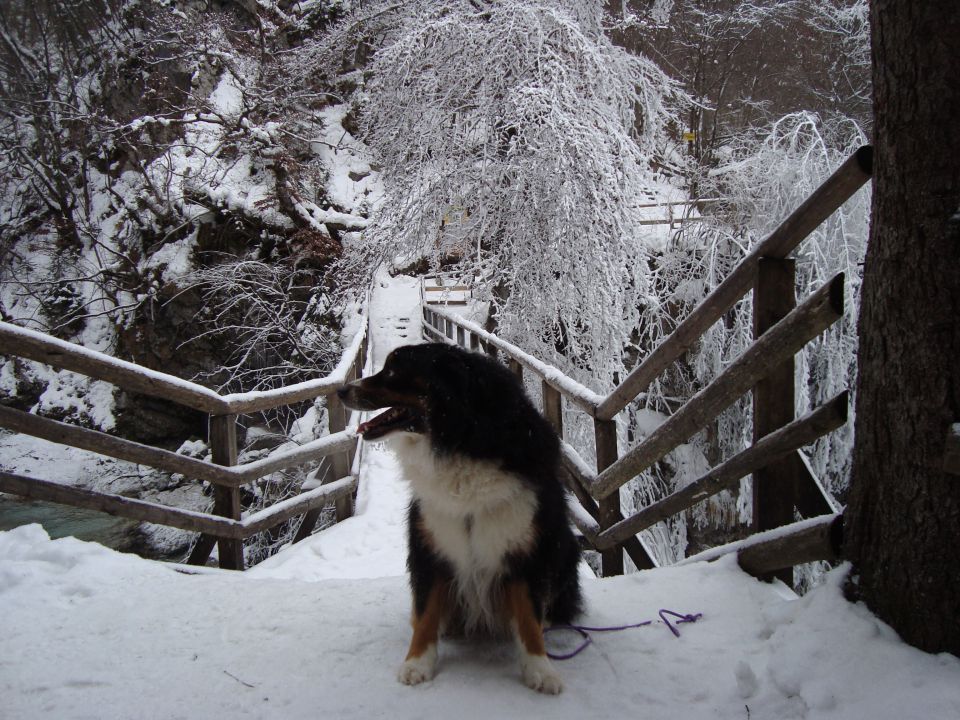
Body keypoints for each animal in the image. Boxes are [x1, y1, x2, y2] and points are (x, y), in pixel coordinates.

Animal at [338, 346, 580, 696]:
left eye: (394, 371)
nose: (341, 390)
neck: (461, 440)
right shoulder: (430, 542)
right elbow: (425, 613)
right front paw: (417, 662)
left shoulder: (525, 546)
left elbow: (528, 615)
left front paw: (539, 668)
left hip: (566, 548)